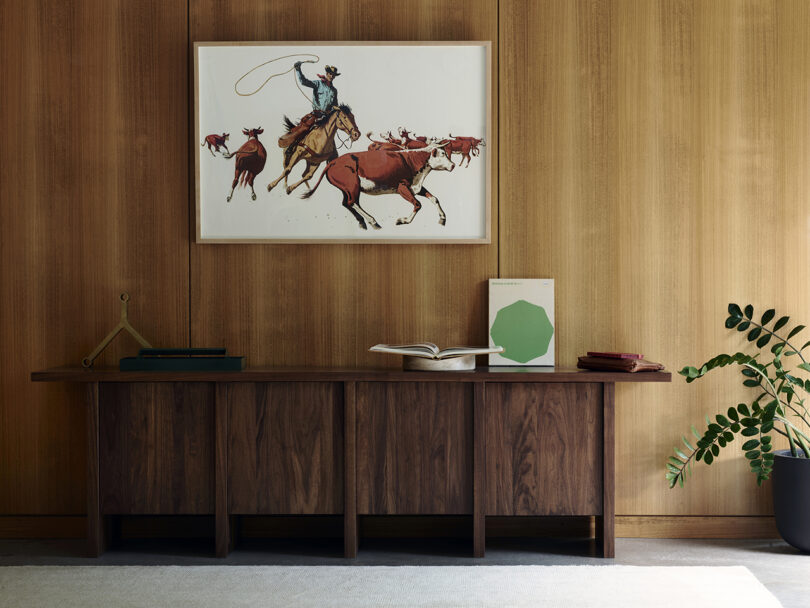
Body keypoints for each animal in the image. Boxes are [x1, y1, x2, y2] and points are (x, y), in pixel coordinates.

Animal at [304, 142, 454, 230]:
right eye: (442, 154)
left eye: (446, 153)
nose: (453, 165)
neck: (412, 160)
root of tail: (332, 162)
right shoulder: (402, 187)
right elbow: (418, 204)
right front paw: (403, 220)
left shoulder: (415, 187)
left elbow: (434, 199)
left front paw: (443, 218)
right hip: (353, 186)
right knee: (352, 202)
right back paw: (373, 221)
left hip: (347, 189)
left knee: (346, 203)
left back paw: (362, 223)